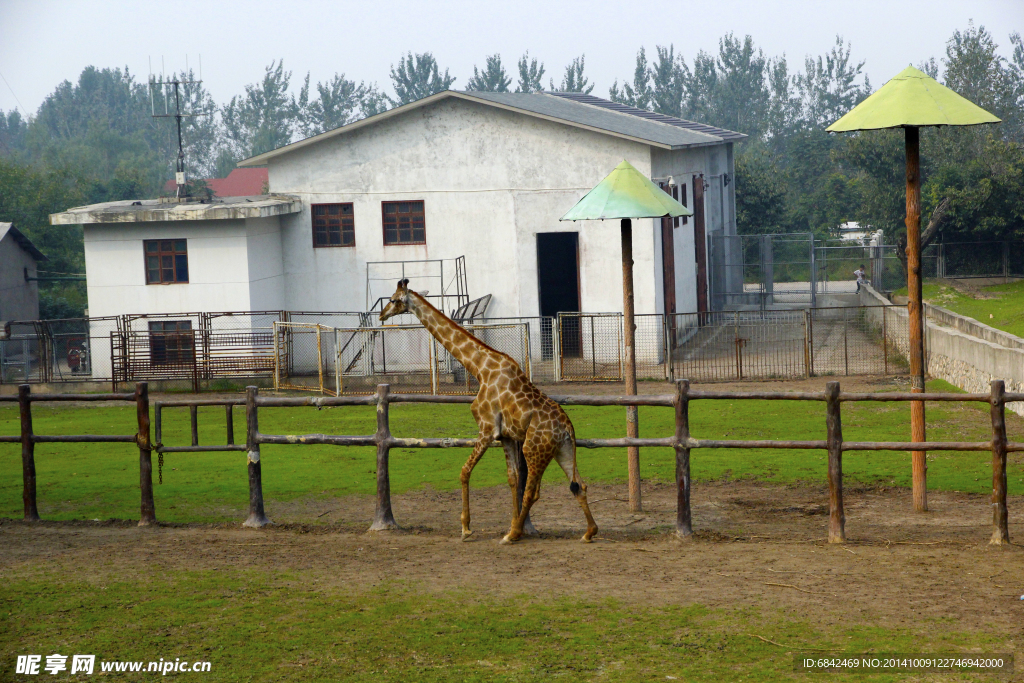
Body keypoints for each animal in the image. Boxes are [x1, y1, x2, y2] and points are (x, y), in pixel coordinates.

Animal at [380, 278, 598, 544]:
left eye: (393, 300)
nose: (381, 315)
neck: (480, 368)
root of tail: (568, 428)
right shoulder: (506, 436)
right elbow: (512, 480)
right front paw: (508, 523)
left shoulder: (487, 428)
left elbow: (465, 472)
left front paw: (466, 528)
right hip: (561, 450)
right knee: (578, 485)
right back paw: (588, 532)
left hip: (534, 449)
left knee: (534, 492)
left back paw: (513, 535)